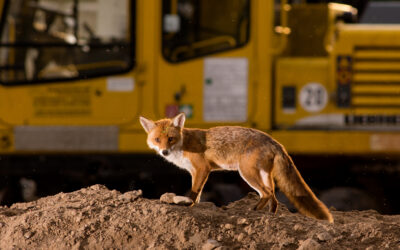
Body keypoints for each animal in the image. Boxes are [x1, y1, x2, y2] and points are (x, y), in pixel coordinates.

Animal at [139, 113, 332, 223]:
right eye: (157, 140)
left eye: (170, 139)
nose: (164, 151)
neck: (183, 145)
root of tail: (274, 141)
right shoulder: (195, 172)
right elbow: (198, 192)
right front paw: (194, 204)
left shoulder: (202, 169)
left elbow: (194, 192)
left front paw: (189, 204)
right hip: (264, 175)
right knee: (273, 196)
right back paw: (270, 215)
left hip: (247, 173)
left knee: (267, 193)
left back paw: (253, 211)